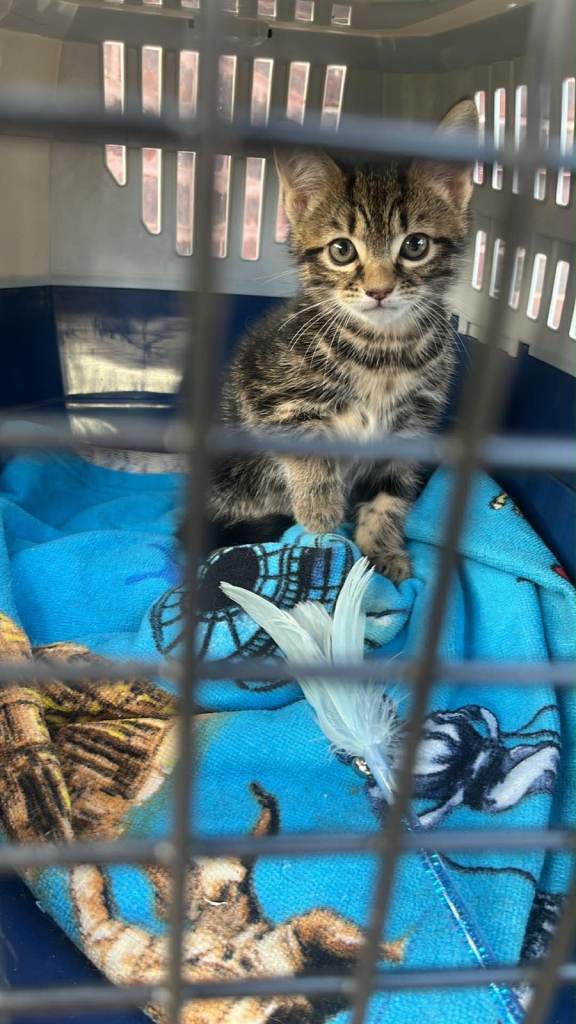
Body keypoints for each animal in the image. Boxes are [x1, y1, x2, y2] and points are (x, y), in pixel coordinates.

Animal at [181, 98, 478, 582]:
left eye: (415, 245)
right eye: (342, 250)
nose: (379, 290)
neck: (383, 349)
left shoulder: (412, 427)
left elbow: (390, 492)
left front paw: (380, 551)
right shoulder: (265, 393)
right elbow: (303, 442)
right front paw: (320, 511)